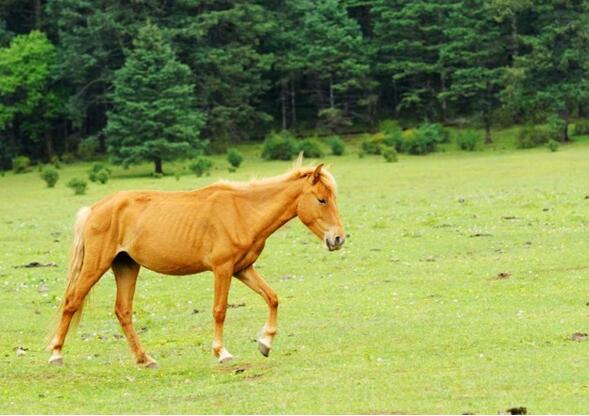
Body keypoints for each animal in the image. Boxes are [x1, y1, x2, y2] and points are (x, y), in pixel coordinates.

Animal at [50, 157, 346, 368]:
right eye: (322, 199)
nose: (338, 238)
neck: (242, 211)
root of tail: (95, 209)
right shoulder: (223, 269)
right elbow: (219, 310)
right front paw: (222, 352)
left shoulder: (242, 269)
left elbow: (272, 298)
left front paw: (265, 342)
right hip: (96, 266)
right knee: (72, 301)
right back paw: (55, 354)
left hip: (126, 266)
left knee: (123, 311)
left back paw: (145, 359)